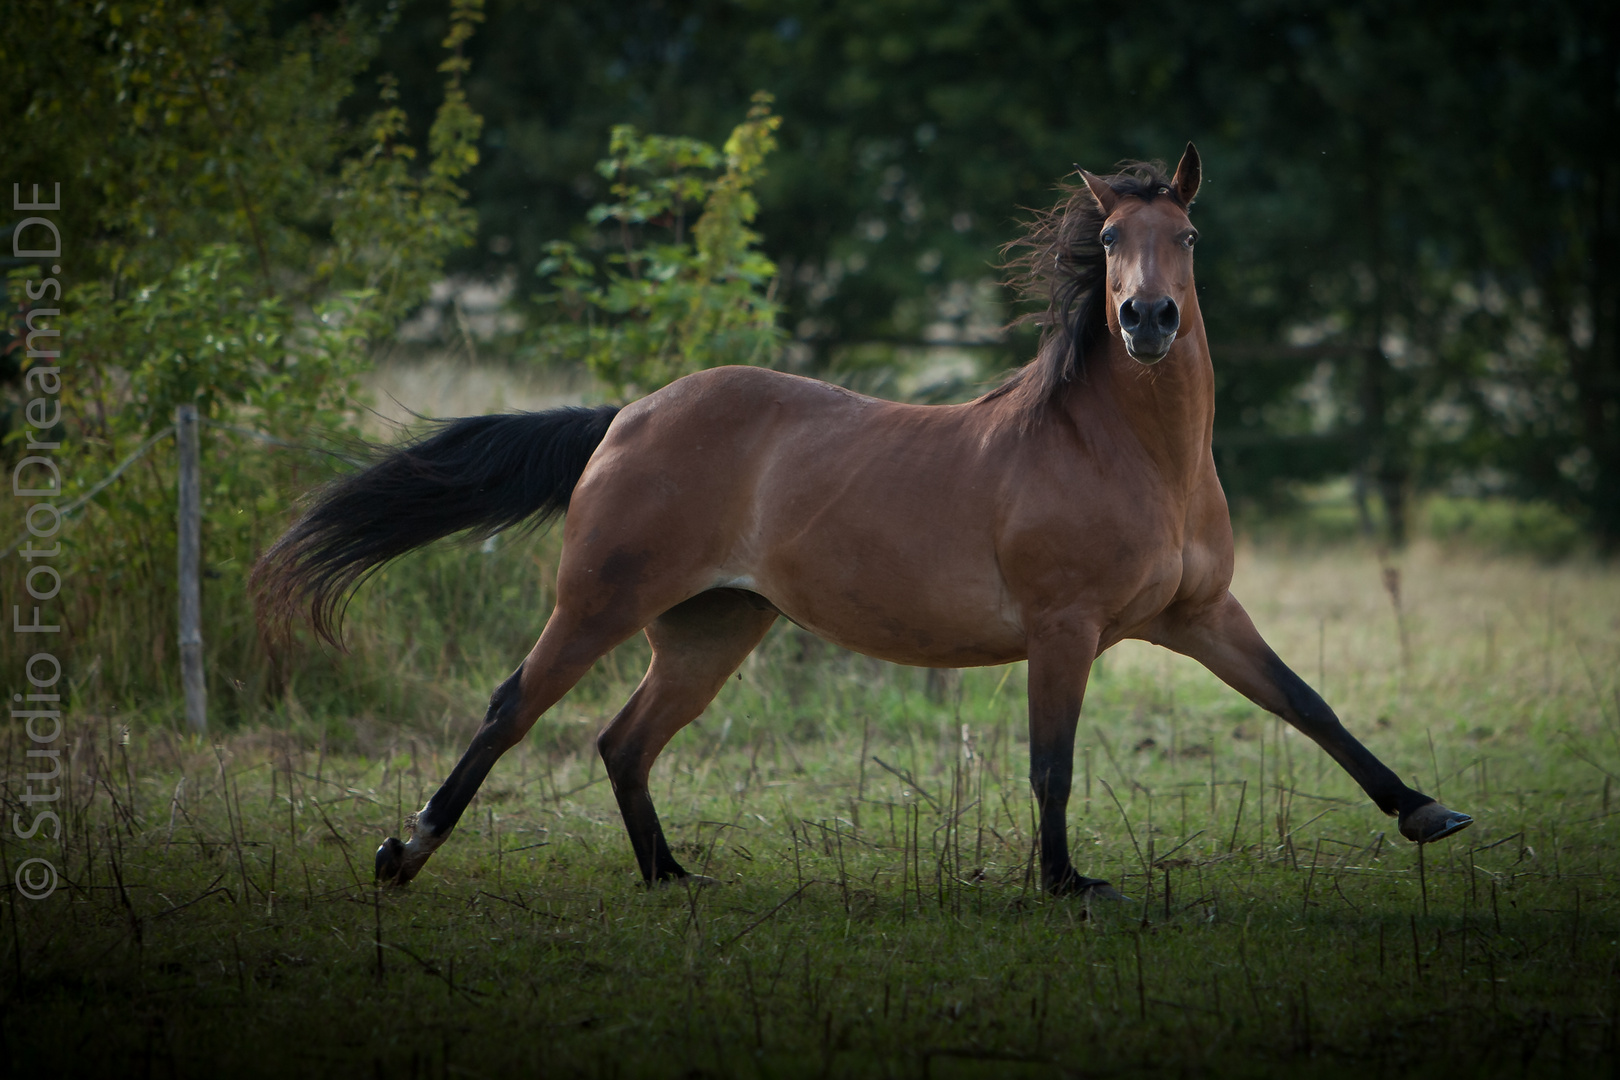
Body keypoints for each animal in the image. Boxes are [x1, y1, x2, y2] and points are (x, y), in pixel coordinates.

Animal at [249, 148, 1470, 900]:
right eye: (1111, 238)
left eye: (1191, 233)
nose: (1147, 320)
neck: (1128, 457)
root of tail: (629, 415)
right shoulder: (1065, 629)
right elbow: (1052, 763)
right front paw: (1067, 883)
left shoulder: (1202, 615)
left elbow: (1310, 706)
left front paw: (1426, 815)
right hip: (600, 601)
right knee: (511, 710)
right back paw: (404, 852)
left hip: (712, 627)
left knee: (624, 741)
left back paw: (670, 877)